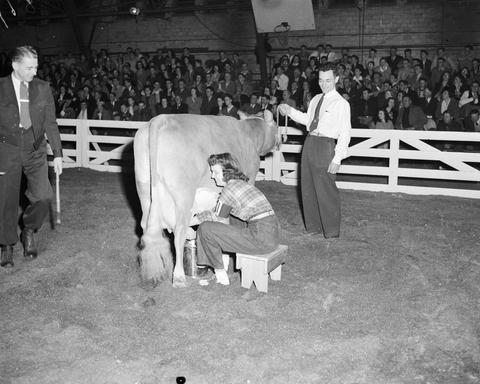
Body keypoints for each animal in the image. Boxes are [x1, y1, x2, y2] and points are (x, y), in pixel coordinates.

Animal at [133, 109, 282, 286]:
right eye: (276, 125)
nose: (282, 139)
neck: (250, 134)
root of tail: (160, 119)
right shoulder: (250, 177)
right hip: (184, 194)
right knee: (179, 229)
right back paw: (179, 276)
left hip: (144, 189)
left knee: (146, 225)